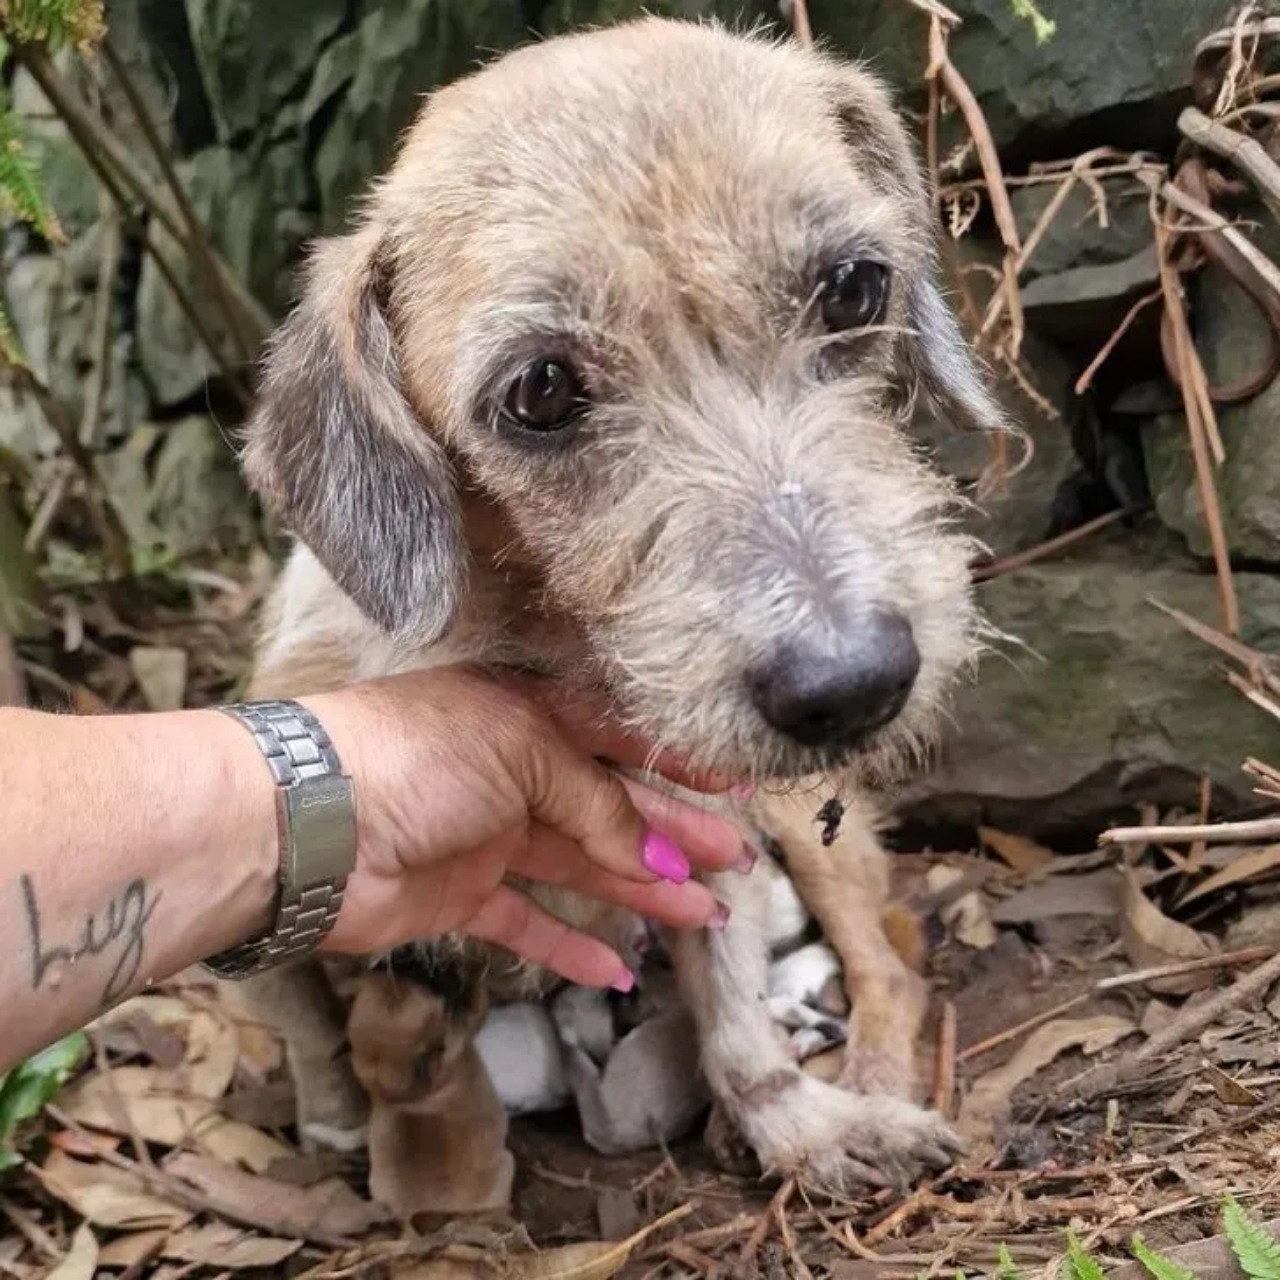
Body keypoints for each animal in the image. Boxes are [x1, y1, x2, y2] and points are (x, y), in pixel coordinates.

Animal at [222, 15, 1008, 1203]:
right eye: (542, 389)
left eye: (852, 289)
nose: (855, 683)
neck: (540, 641)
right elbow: (306, 1022)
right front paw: (334, 1117)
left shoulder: (715, 840)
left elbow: (734, 1017)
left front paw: (801, 1128)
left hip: (806, 829)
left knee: (886, 955)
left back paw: (868, 1075)